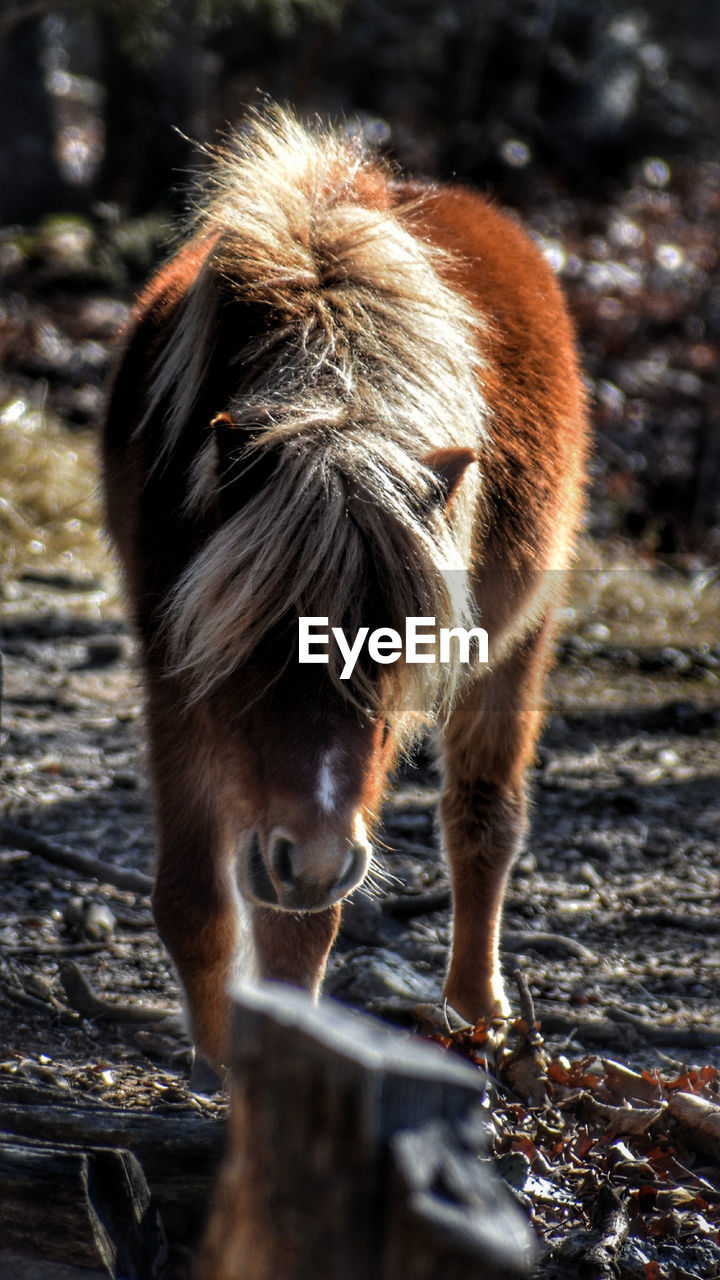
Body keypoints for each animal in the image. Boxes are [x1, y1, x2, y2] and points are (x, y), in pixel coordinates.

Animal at [101, 107, 586, 1080]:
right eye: (254, 648)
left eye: (391, 655)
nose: (317, 857)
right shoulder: (175, 673)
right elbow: (194, 900)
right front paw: (219, 1054)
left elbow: (300, 928)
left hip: (518, 645)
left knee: (483, 822)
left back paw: (476, 1012)